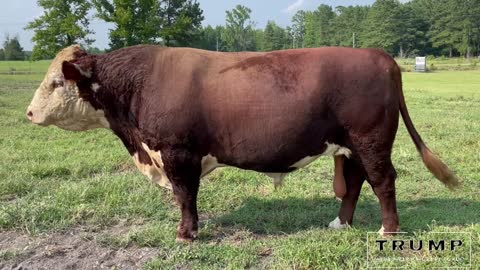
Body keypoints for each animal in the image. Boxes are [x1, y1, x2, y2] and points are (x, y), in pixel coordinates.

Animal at [25, 45, 458, 242]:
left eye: (56, 81)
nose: (28, 113)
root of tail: (379, 55)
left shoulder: (178, 152)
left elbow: (185, 196)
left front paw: (186, 234)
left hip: (372, 141)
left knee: (383, 181)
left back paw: (389, 231)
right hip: (349, 145)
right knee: (353, 183)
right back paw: (340, 223)